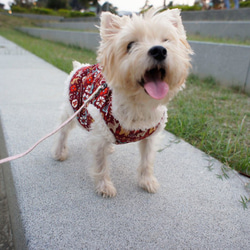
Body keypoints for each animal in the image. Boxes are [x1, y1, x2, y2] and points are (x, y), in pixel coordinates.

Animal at [52, 9, 193, 197]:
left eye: (166, 40)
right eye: (130, 45)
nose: (159, 51)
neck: (138, 105)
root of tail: (80, 66)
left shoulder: (150, 137)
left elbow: (147, 161)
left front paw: (147, 181)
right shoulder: (99, 130)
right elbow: (101, 164)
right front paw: (104, 187)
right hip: (73, 110)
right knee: (62, 131)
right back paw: (59, 152)